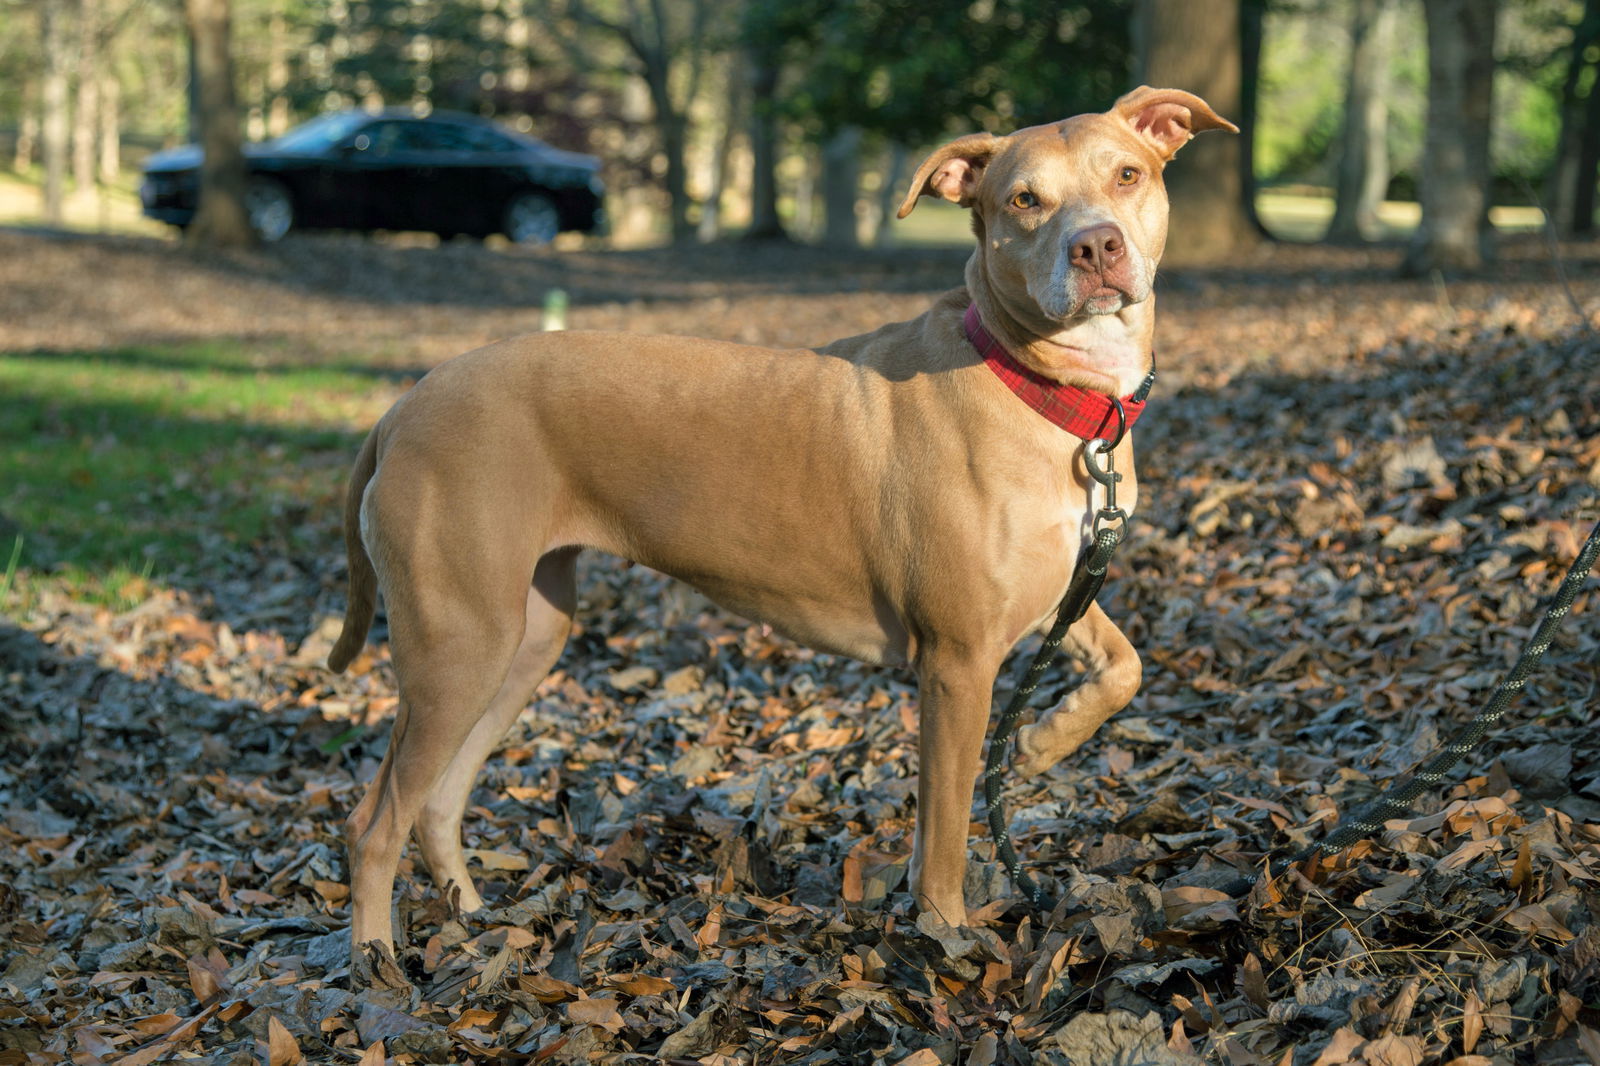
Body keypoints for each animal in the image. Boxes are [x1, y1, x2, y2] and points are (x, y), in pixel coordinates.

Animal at [328, 87, 1235, 953]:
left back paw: (469, 918)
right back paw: (378, 967)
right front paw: (948, 937)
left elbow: (1125, 668)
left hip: (523, 639)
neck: (1042, 387)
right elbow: (945, 832)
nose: (1096, 247)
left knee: (436, 802)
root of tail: (405, 405)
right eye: (1024, 200)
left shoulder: (1058, 593)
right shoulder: (958, 662)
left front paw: (1044, 742)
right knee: (374, 822)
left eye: (1128, 176)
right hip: (460, 644)